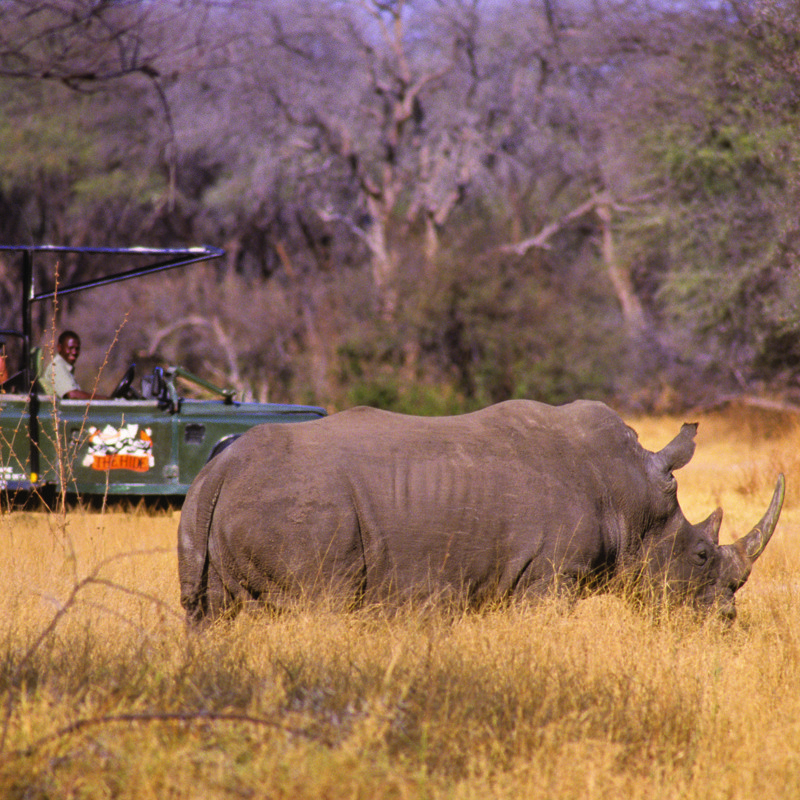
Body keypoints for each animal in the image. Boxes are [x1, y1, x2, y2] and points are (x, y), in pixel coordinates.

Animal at [177, 399, 785, 624]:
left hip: (208, 507)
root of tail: (218, 471)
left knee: (210, 615)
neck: (629, 494)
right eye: (701, 555)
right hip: (305, 511)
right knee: (324, 604)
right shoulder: (552, 575)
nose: (725, 620)